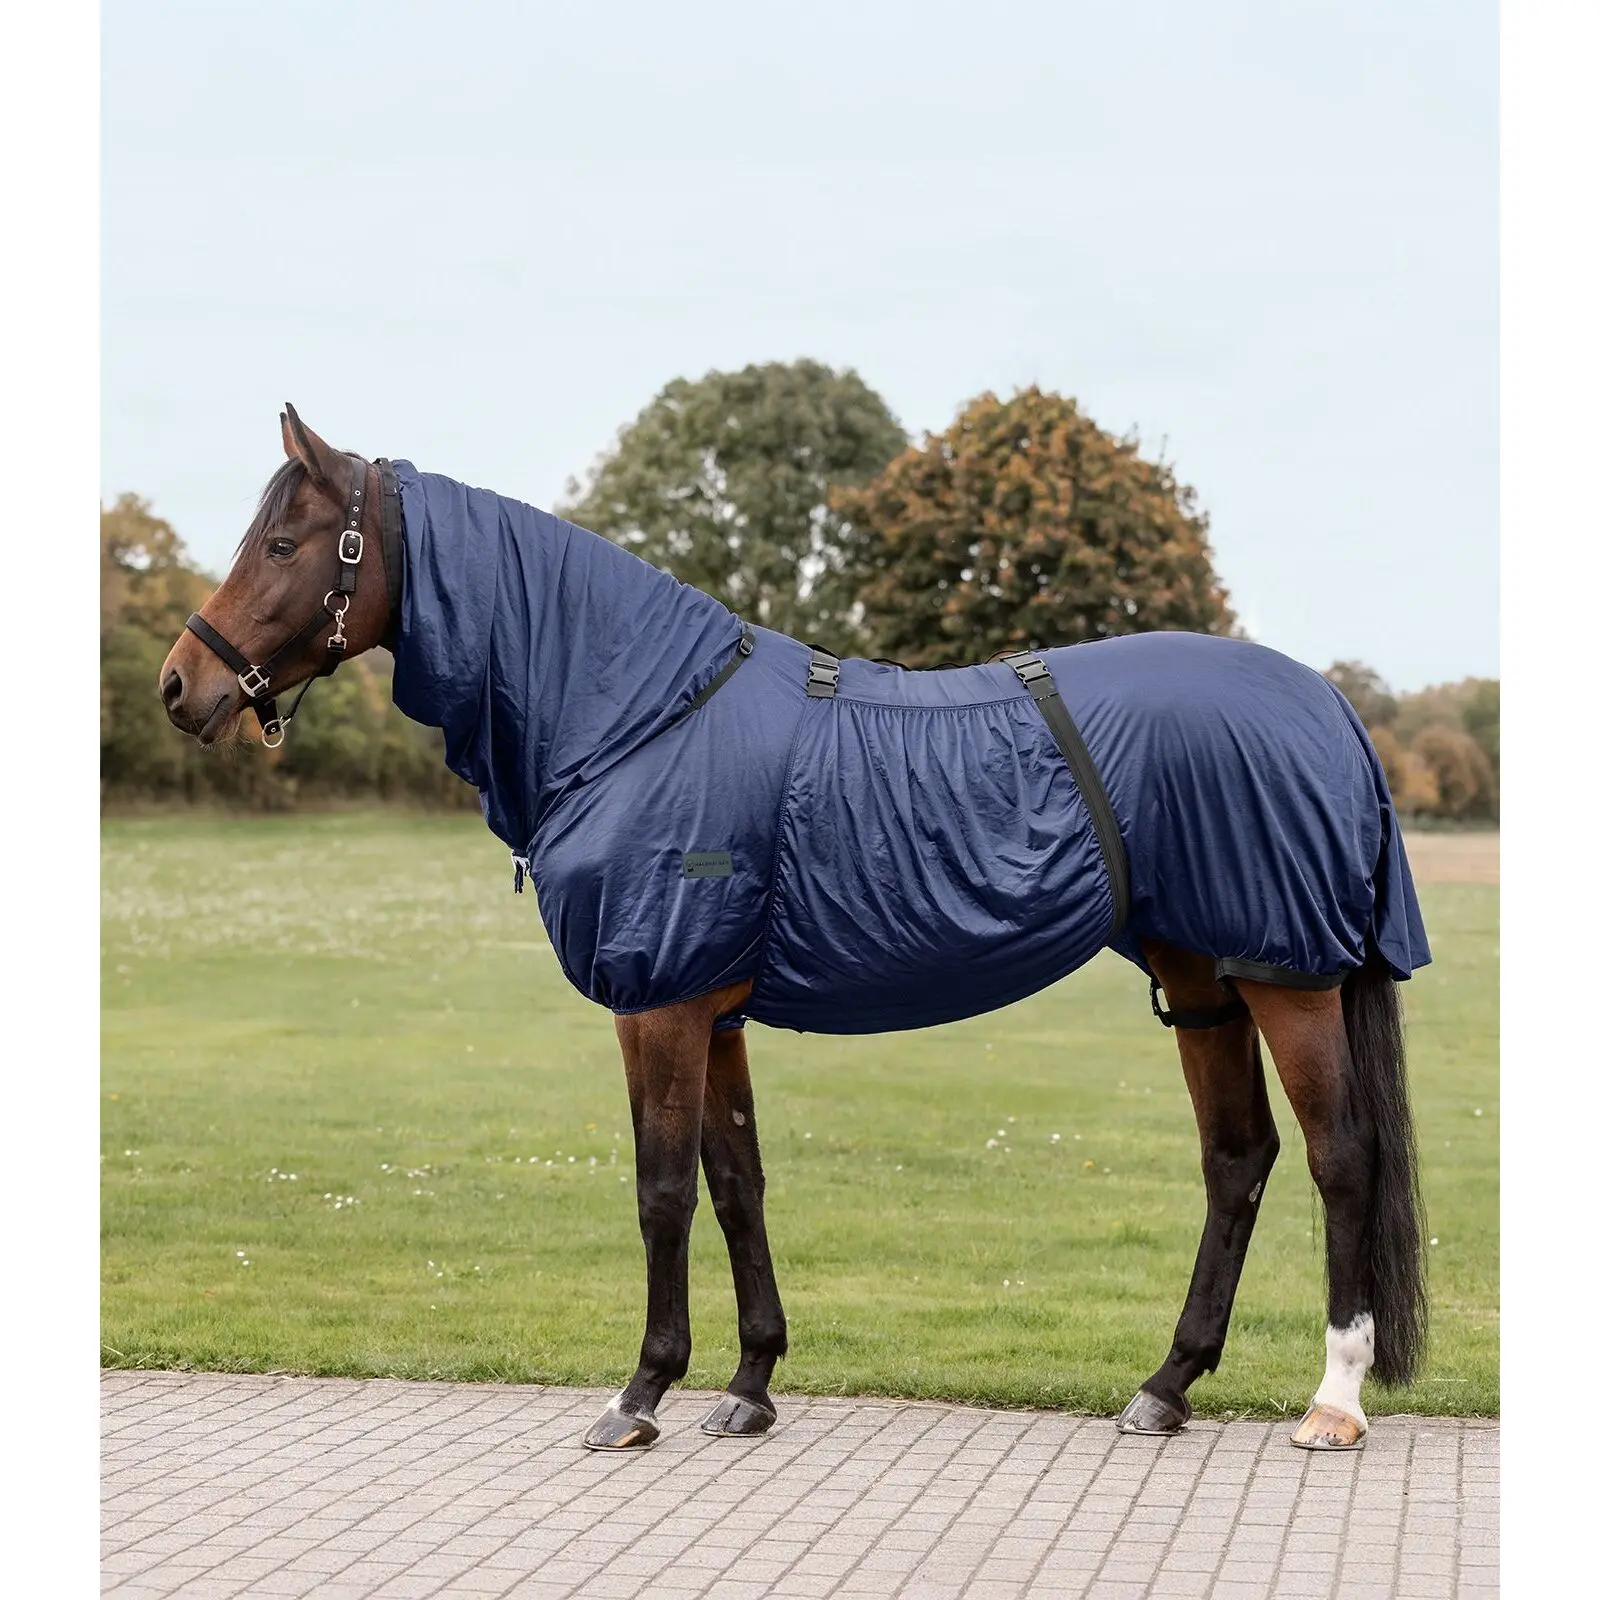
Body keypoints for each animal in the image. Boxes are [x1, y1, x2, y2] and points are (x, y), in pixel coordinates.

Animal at [160, 404, 1429, 1456]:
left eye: (284, 546)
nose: (180, 686)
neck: (639, 713)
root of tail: (1327, 704)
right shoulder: (712, 1010)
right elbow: (736, 1183)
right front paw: (750, 1385)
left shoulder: (658, 1003)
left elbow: (660, 1189)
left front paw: (640, 1393)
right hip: (1202, 979)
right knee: (1237, 1158)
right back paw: (1165, 1386)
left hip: (1287, 978)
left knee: (1338, 1157)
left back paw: (1332, 1401)